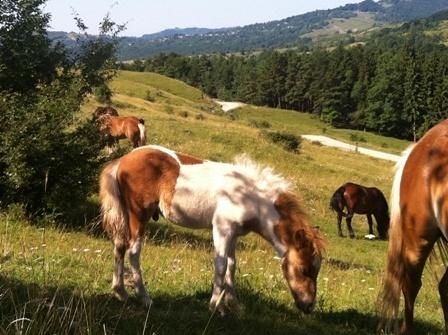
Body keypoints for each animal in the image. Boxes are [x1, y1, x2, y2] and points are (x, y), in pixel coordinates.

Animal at [100, 144, 326, 316]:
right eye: (304, 269)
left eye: (316, 270)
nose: (308, 306)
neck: (249, 197)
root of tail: (124, 159)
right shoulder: (221, 229)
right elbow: (221, 264)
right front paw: (215, 306)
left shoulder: (234, 234)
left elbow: (232, 266)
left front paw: (234, 305)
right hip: (139, 215)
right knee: (133, 251)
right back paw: (144, 298)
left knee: (119, 245)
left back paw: (120, 292)